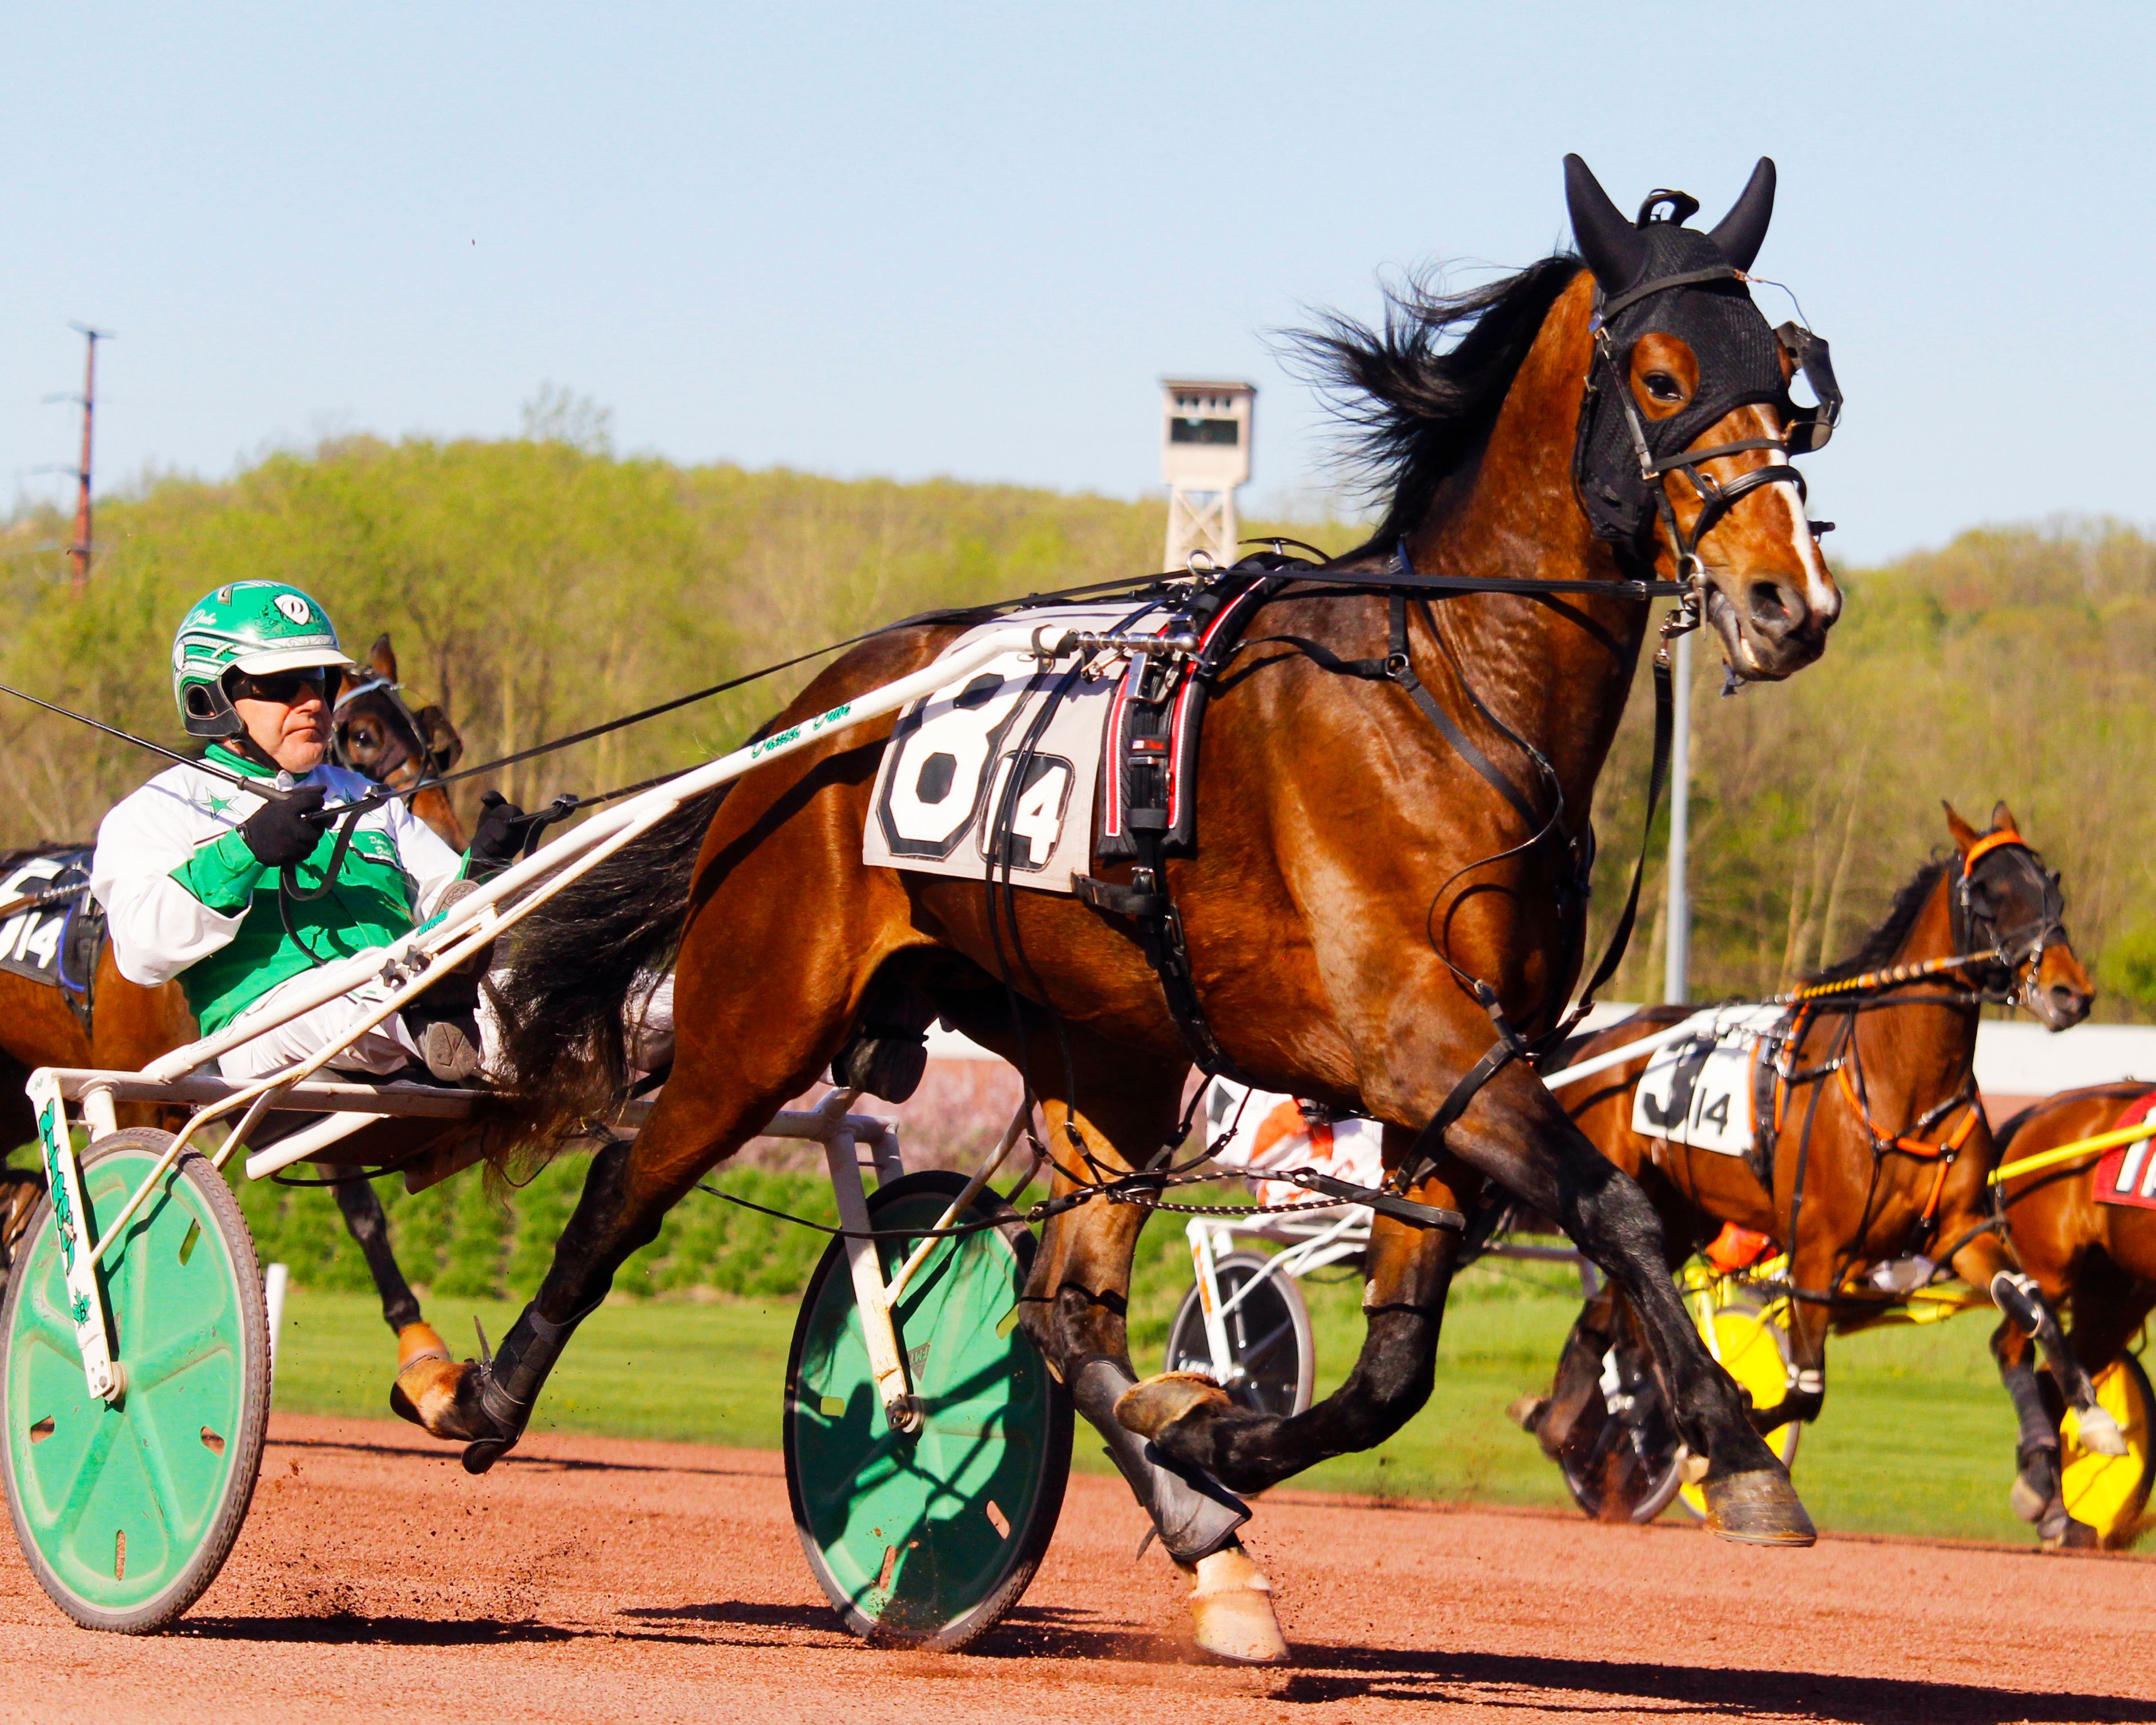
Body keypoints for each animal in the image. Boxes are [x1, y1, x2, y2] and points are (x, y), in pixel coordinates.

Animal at [0, 631, 470, 1388]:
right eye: (363, 736)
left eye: (442, 744)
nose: (454, 844)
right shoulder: (143, 1095)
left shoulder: (299, 1086)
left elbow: (362, 1209)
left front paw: (422, 1354)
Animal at [399, 154, 1845, 1663]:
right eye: (1666, 376)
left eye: (1794, 380)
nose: (1785, 600)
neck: (1444, 694)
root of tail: (801, 726)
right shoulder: (1416, 1042)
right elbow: (1616, 1212)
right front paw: (1739, 1455)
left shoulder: (1456, 1073)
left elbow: (1394, 1363)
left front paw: (1209, 1433)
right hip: (763, 1014)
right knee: (627, 1180)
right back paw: (477, 1392)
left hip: (1114, 1054)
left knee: (1060, 1309)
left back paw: (1207, 1541)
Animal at [1532, 804, 2110, 1534]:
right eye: (1987, 895)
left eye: (2051, 890)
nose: (2071, 993)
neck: (1896, 1084)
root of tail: (1604, 1040)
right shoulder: (1814, 1252)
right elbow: (1804, 1391)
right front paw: (1722, 1446)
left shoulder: (1960, 1230)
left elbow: (2032, 1304)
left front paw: (2093, 1419)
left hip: (1674, 1217)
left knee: (1612, 1317)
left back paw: (1572, 1420)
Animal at [1991, 1079, 2156, 1545]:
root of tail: (2042, 1109)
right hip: (2049, 1270)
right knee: (2016, 1344)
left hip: (2118, 1294)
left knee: (2051, 1379)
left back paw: (2054, 1507)